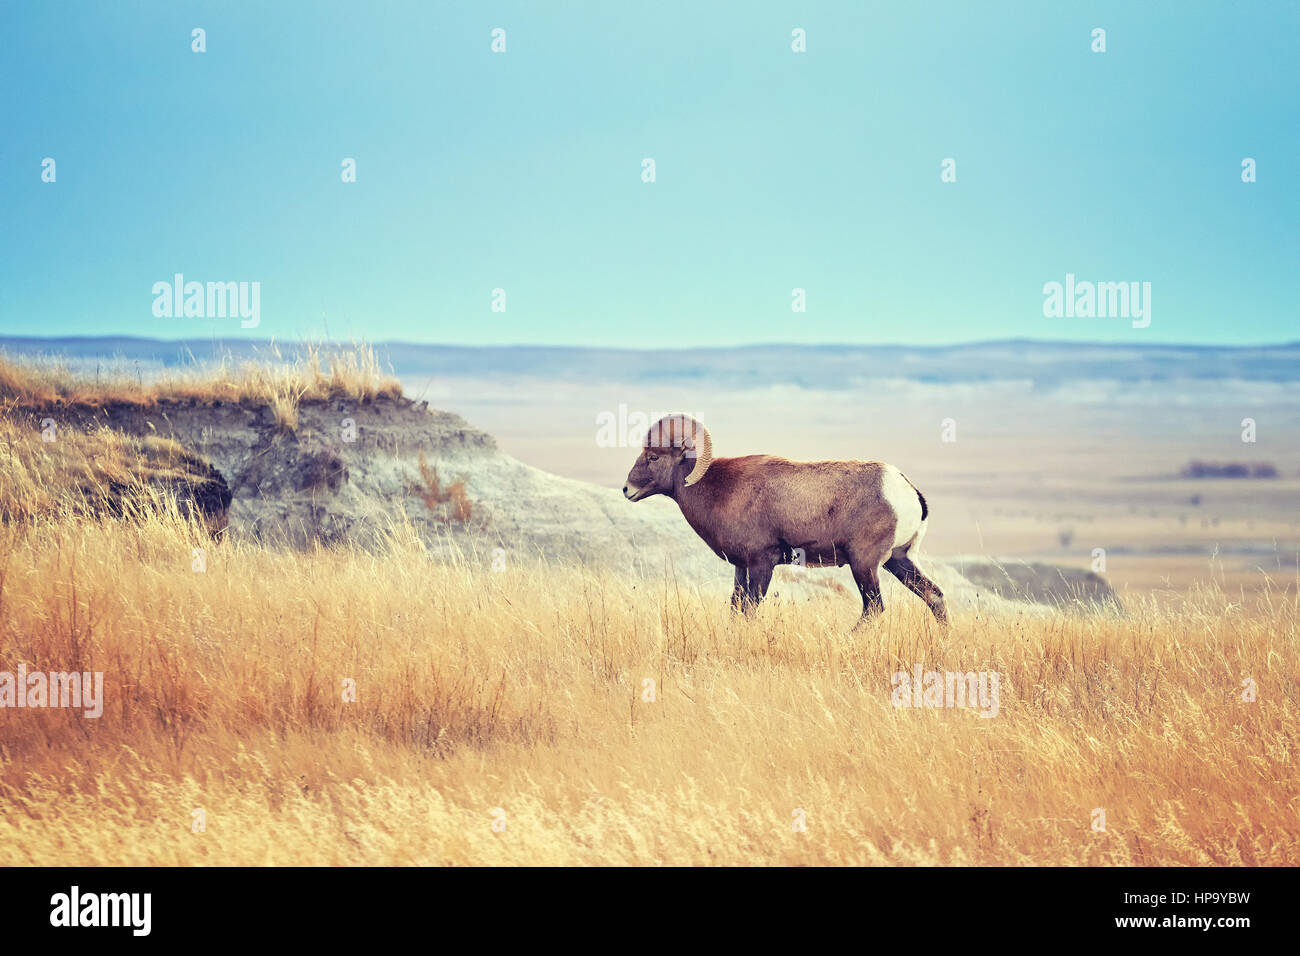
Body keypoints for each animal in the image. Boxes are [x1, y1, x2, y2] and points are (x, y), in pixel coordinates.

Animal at [618, 413, 946, 624]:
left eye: (653, 457)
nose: (627, 489)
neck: (718, 489)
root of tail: (907, 490)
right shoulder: (741, 567)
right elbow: (736, 609)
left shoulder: (762, 563)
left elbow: (750, 610)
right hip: (899, 560)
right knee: (935, 596)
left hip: (864, 564)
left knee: (874, 608)